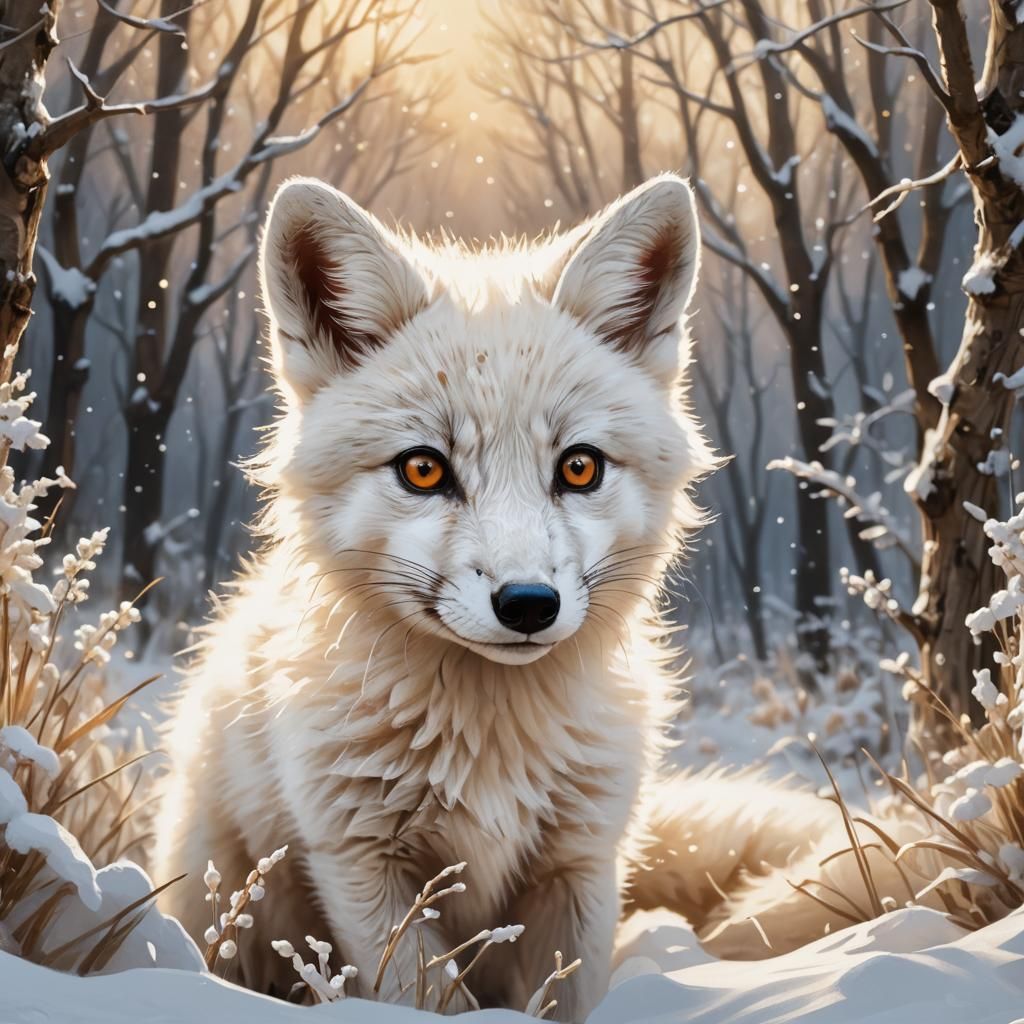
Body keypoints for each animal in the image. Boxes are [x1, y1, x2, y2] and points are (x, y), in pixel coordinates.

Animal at [152, 174, 906, 1019]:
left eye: (579, 467)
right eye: (423, 469)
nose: (527, 604)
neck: (491, 743)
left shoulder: (579, 866)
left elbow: (562, 996)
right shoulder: (361, 864)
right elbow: (428, 999)